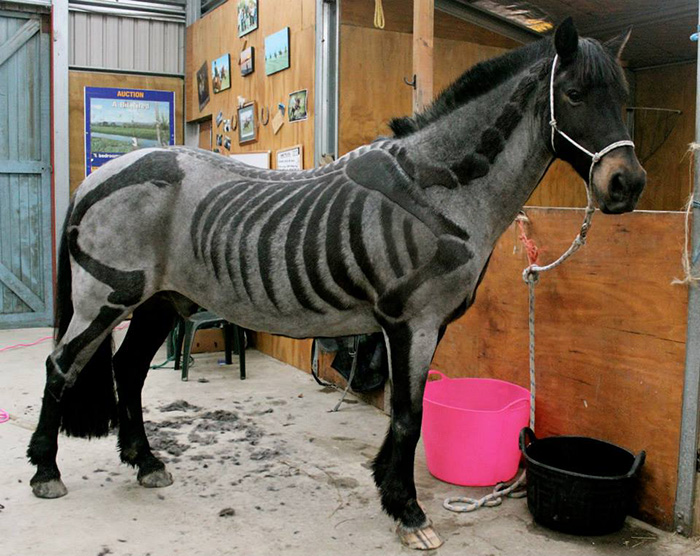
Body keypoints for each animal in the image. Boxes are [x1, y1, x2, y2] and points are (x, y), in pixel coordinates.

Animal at [28, 18, 645, 550]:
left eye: (623, 100)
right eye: (574, 95)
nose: (628, 185)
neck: (443, 185)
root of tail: (98, 175)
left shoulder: (428, 325)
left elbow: (406, 414)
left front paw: (388, 491)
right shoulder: (410, 321)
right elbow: (408, 417)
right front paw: (408, 512)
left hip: (158, 302)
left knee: (127, 370)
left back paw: (147, 462)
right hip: (105, 299)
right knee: (61, 367)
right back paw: (46, 471)